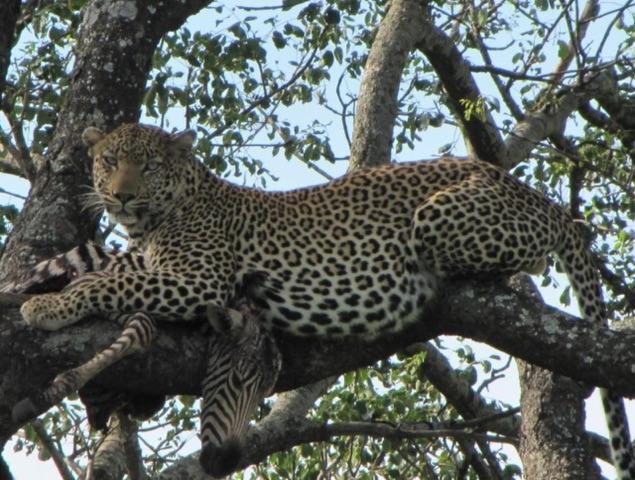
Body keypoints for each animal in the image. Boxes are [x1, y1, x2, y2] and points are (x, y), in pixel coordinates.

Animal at [16, 123, 635, 476]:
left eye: (147, 164)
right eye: (108, 161)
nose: (121, 195)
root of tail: (540, 198)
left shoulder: (198, 278)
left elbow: (107, 283)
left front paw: (47, 307)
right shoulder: (153, 264)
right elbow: (103, 265)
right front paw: (38, 284)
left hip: (439, 216)